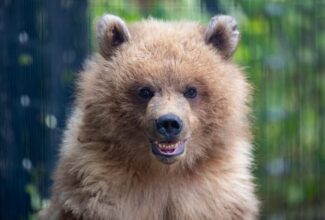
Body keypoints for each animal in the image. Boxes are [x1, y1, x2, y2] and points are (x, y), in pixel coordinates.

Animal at [38, 14, 258, 220]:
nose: (169, 123)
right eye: (145, 90)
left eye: (191, 90)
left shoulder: (216, 195)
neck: (164, 172)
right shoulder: (100, 189)